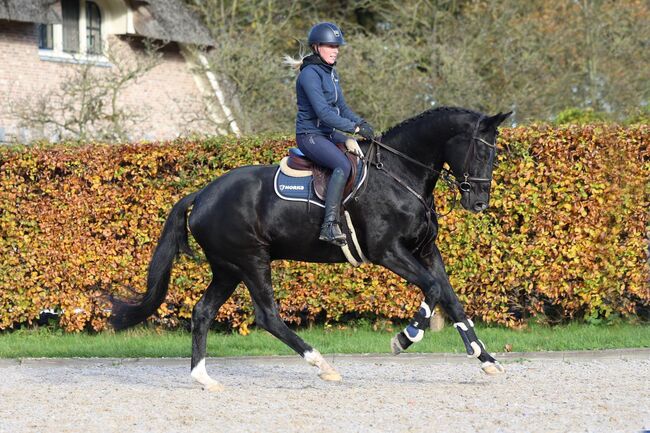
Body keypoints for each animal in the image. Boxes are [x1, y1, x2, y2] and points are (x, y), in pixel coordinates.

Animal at [110, 106, 512, 390]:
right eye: (479, 151)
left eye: (495, 154)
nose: (478, 203)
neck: (400, 173)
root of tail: (203, 194)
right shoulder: (388, 252)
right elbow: (431, 289)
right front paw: (405, 338)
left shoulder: (426, 251)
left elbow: (450, 298)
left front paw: (485, 358)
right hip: (251, 261)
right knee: (268, 316)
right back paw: (322, 364)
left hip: (228, 268)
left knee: (203, 312)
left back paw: (204, 378)